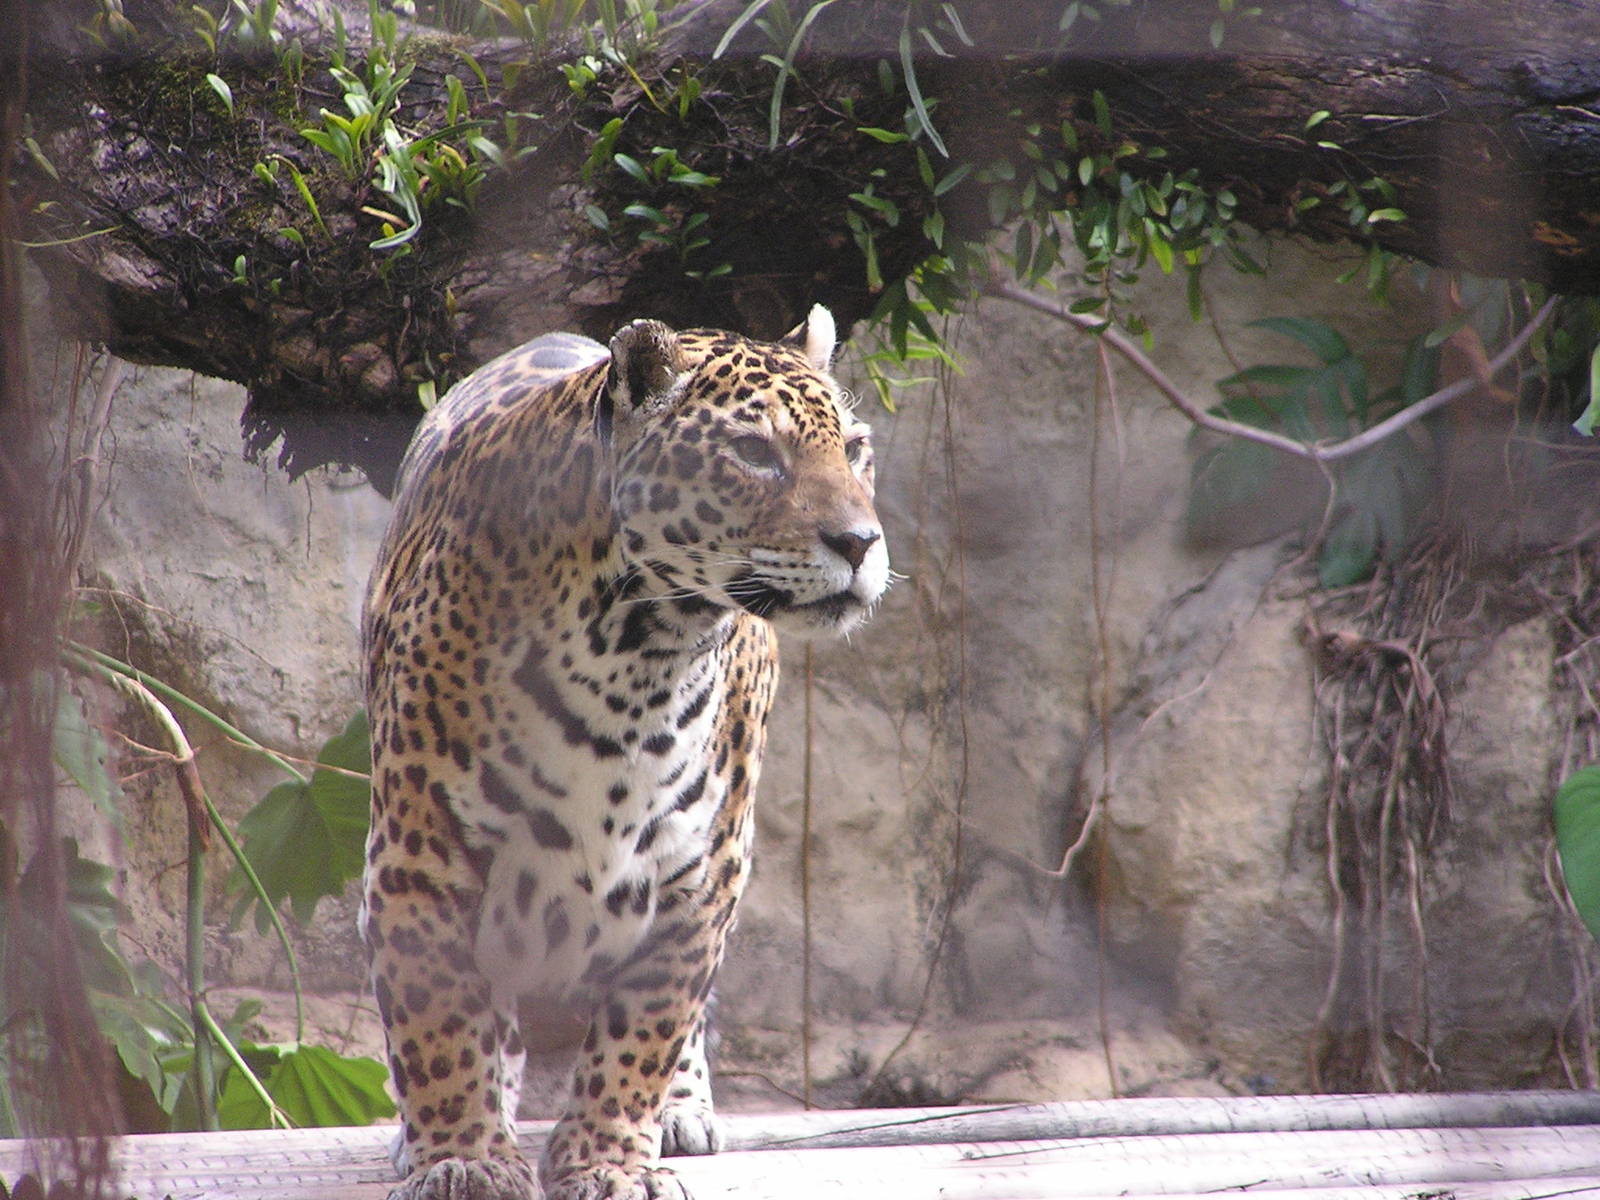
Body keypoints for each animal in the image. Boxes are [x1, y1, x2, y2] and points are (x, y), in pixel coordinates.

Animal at [360, 304, 889, 1200]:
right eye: (755, 453)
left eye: (853, 449)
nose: (860, 542)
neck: (639, 653)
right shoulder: (420, 851)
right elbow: (439, 1018)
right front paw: (464, 1153)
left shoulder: (701, 870)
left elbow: (647, 1030)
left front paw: (610, 1158)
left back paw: (681, 1110)